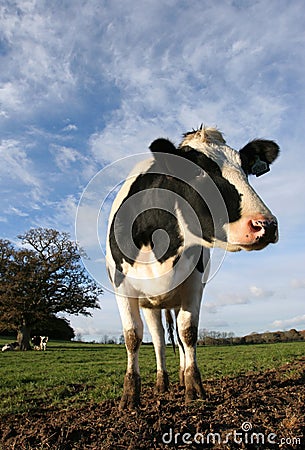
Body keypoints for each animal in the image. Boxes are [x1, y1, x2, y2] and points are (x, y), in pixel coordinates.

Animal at [105, 125, 280, 408]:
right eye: (195, 171)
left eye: (246, 170)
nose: (265, 224)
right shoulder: (122, 286)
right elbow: (133, 337)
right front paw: (130, 396)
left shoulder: (193, 285)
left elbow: (188, 333)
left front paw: (194, 388)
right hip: (151, 305)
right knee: (159, 340)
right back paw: (162, 383)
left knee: (178, 338)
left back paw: (180, 376)